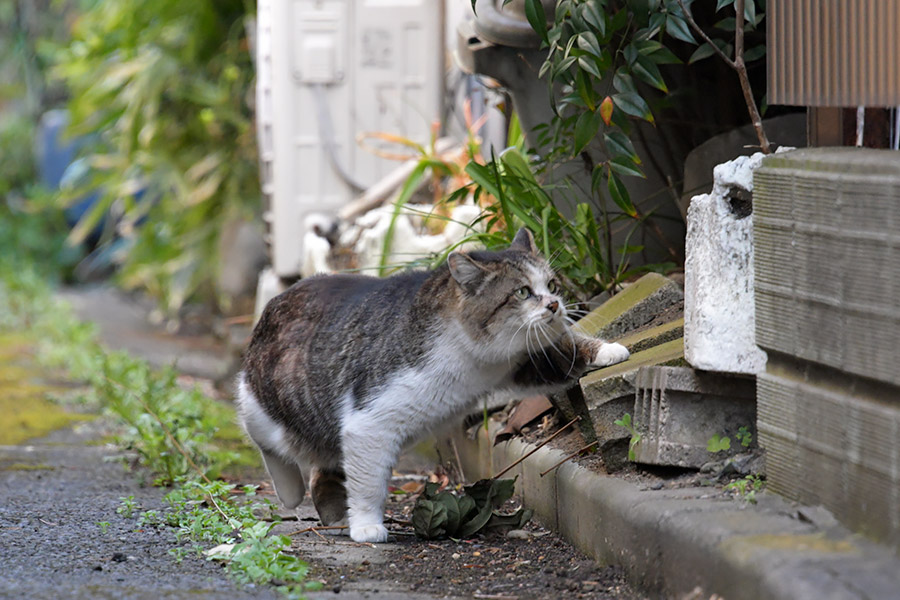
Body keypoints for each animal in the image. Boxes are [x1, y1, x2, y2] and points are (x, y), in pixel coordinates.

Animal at [236, 227, 628, 540]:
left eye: (552, 285)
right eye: (521, 292)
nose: (555, 305)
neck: (474, 359)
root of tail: (279, 298)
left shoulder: (525, 362)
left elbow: (566, 353)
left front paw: (609, 350)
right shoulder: (368, 424)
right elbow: (368, 484)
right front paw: (366, 526)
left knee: (325, 469)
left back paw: (333, 514)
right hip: (273, 410)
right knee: (265, 437)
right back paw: (290, 491)